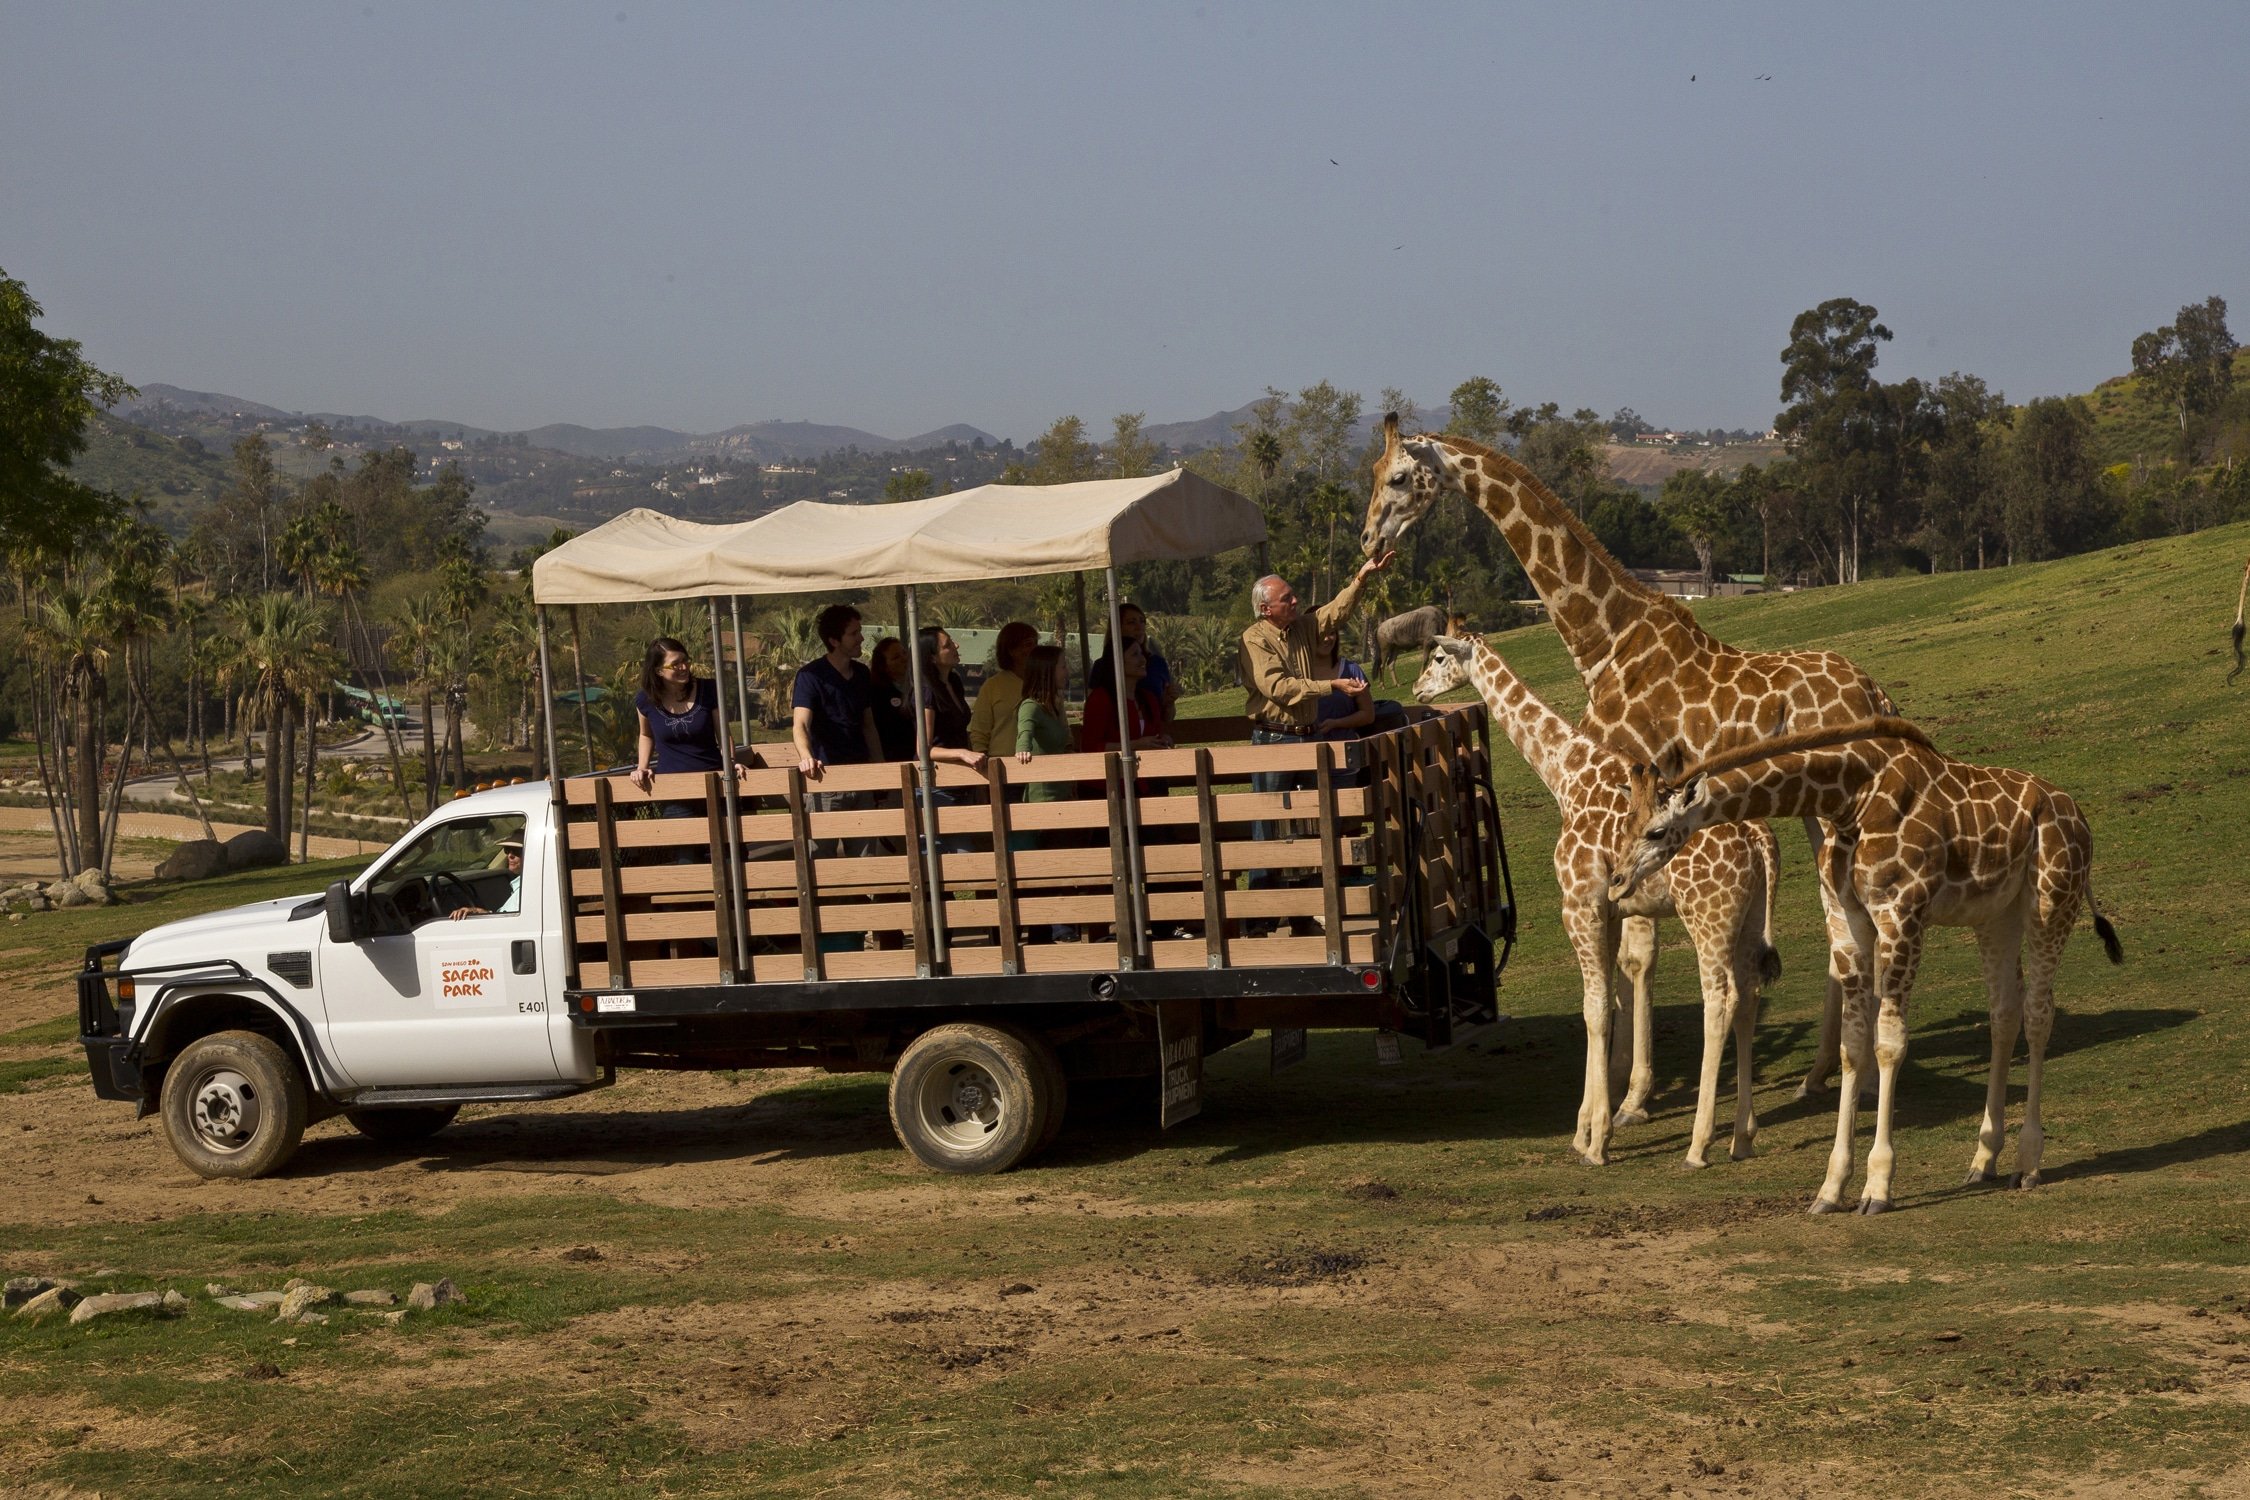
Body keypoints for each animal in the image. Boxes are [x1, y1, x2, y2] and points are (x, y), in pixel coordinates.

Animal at [1413, 638, 1782, 1169]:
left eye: (1440, 658)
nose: (1417, 687)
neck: (1566, 775)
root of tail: (1759, 839)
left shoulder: (1578, 904)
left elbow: (1595, 1008)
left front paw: (1596, 1139)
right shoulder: (1608, 911)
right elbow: (1604, 1000)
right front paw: (1585, 1130)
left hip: (1707, 916)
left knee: (1721, 999)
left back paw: (1699, 1145)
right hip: (1749, 917)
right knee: (1750, 995)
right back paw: (1743, 1136)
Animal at [1611, 719, 2115, 1223]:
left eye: (1655, 831)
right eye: (1625, 824)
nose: (1616, 881)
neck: (1849, 798)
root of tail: (2079, 817)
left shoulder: (1901, 914)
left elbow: (1889, 1044)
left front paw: (1878, 1187)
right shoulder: (1846, 919)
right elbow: (1852, 1046)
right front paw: (1831, 1188)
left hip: (2052, 902)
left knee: (2038, 1013)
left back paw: (2028, 1164)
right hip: (1995, 915)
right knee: (2004, 1013)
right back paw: (1984, 1160)